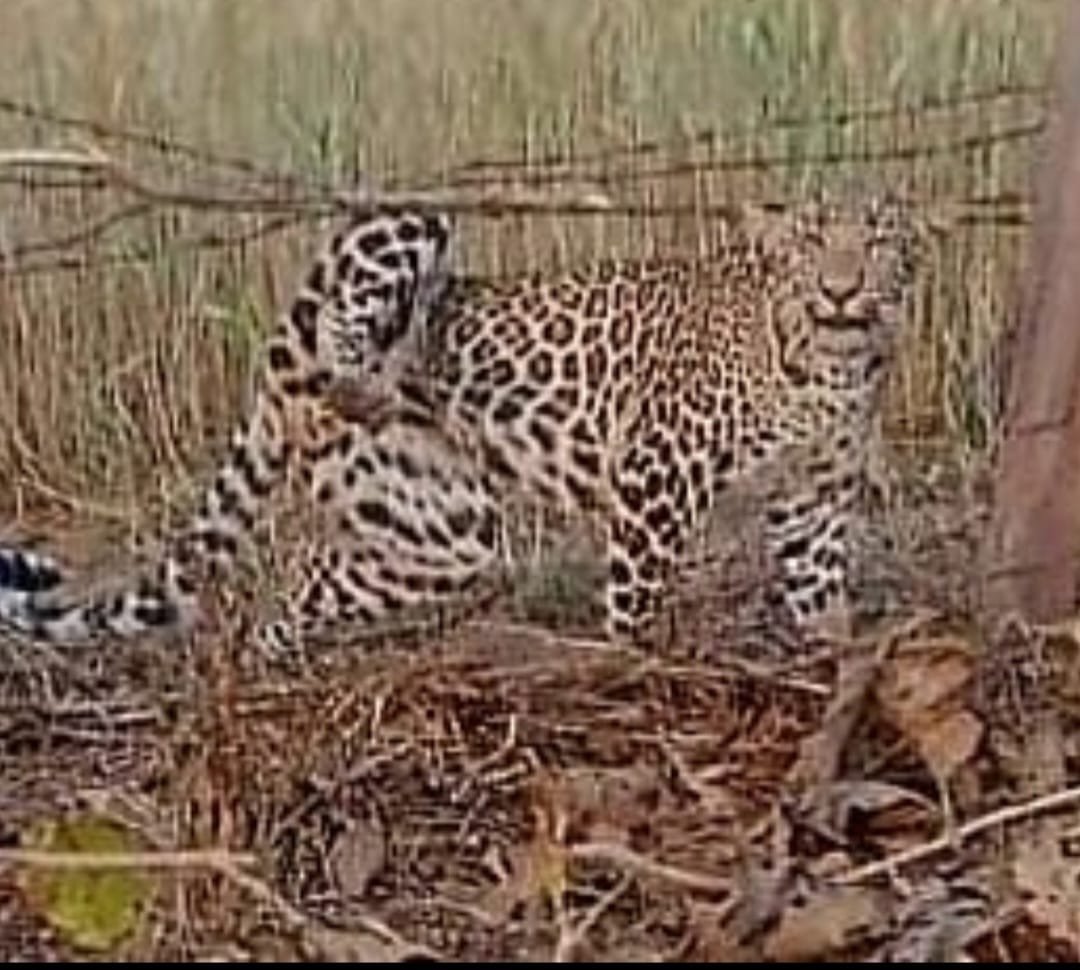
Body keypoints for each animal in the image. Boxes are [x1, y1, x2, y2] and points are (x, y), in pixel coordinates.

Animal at [0, 192, 921, 652]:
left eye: (878, 241)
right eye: (810, 242)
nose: (841, 286)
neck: (830, 366)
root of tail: (282, 367)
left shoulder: (814, 497)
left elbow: (819, 587)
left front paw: (835, 654)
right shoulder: (653, 473)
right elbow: (635, 598)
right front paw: (639, 665)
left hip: (440, 524)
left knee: (307, 576)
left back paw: (279, 650)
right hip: (399, 229)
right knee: (363, 295)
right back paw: (373, 366)